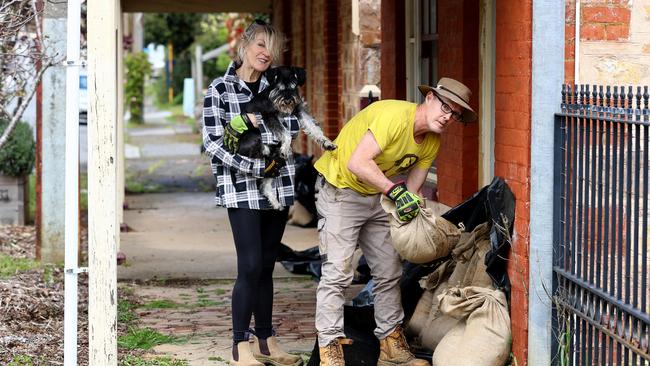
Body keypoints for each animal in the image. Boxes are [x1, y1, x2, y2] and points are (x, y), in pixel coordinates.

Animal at [235, 65, 334, 209]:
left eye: (293, 86)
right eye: (280, 87)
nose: (287, 100)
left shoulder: (299, 111)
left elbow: (313, 128)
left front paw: (327, 143)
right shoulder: (269, 116)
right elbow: (285, 132)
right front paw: (286, 146)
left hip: (275, 165)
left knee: (265, 184)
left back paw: (275, 203)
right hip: (257, 140)